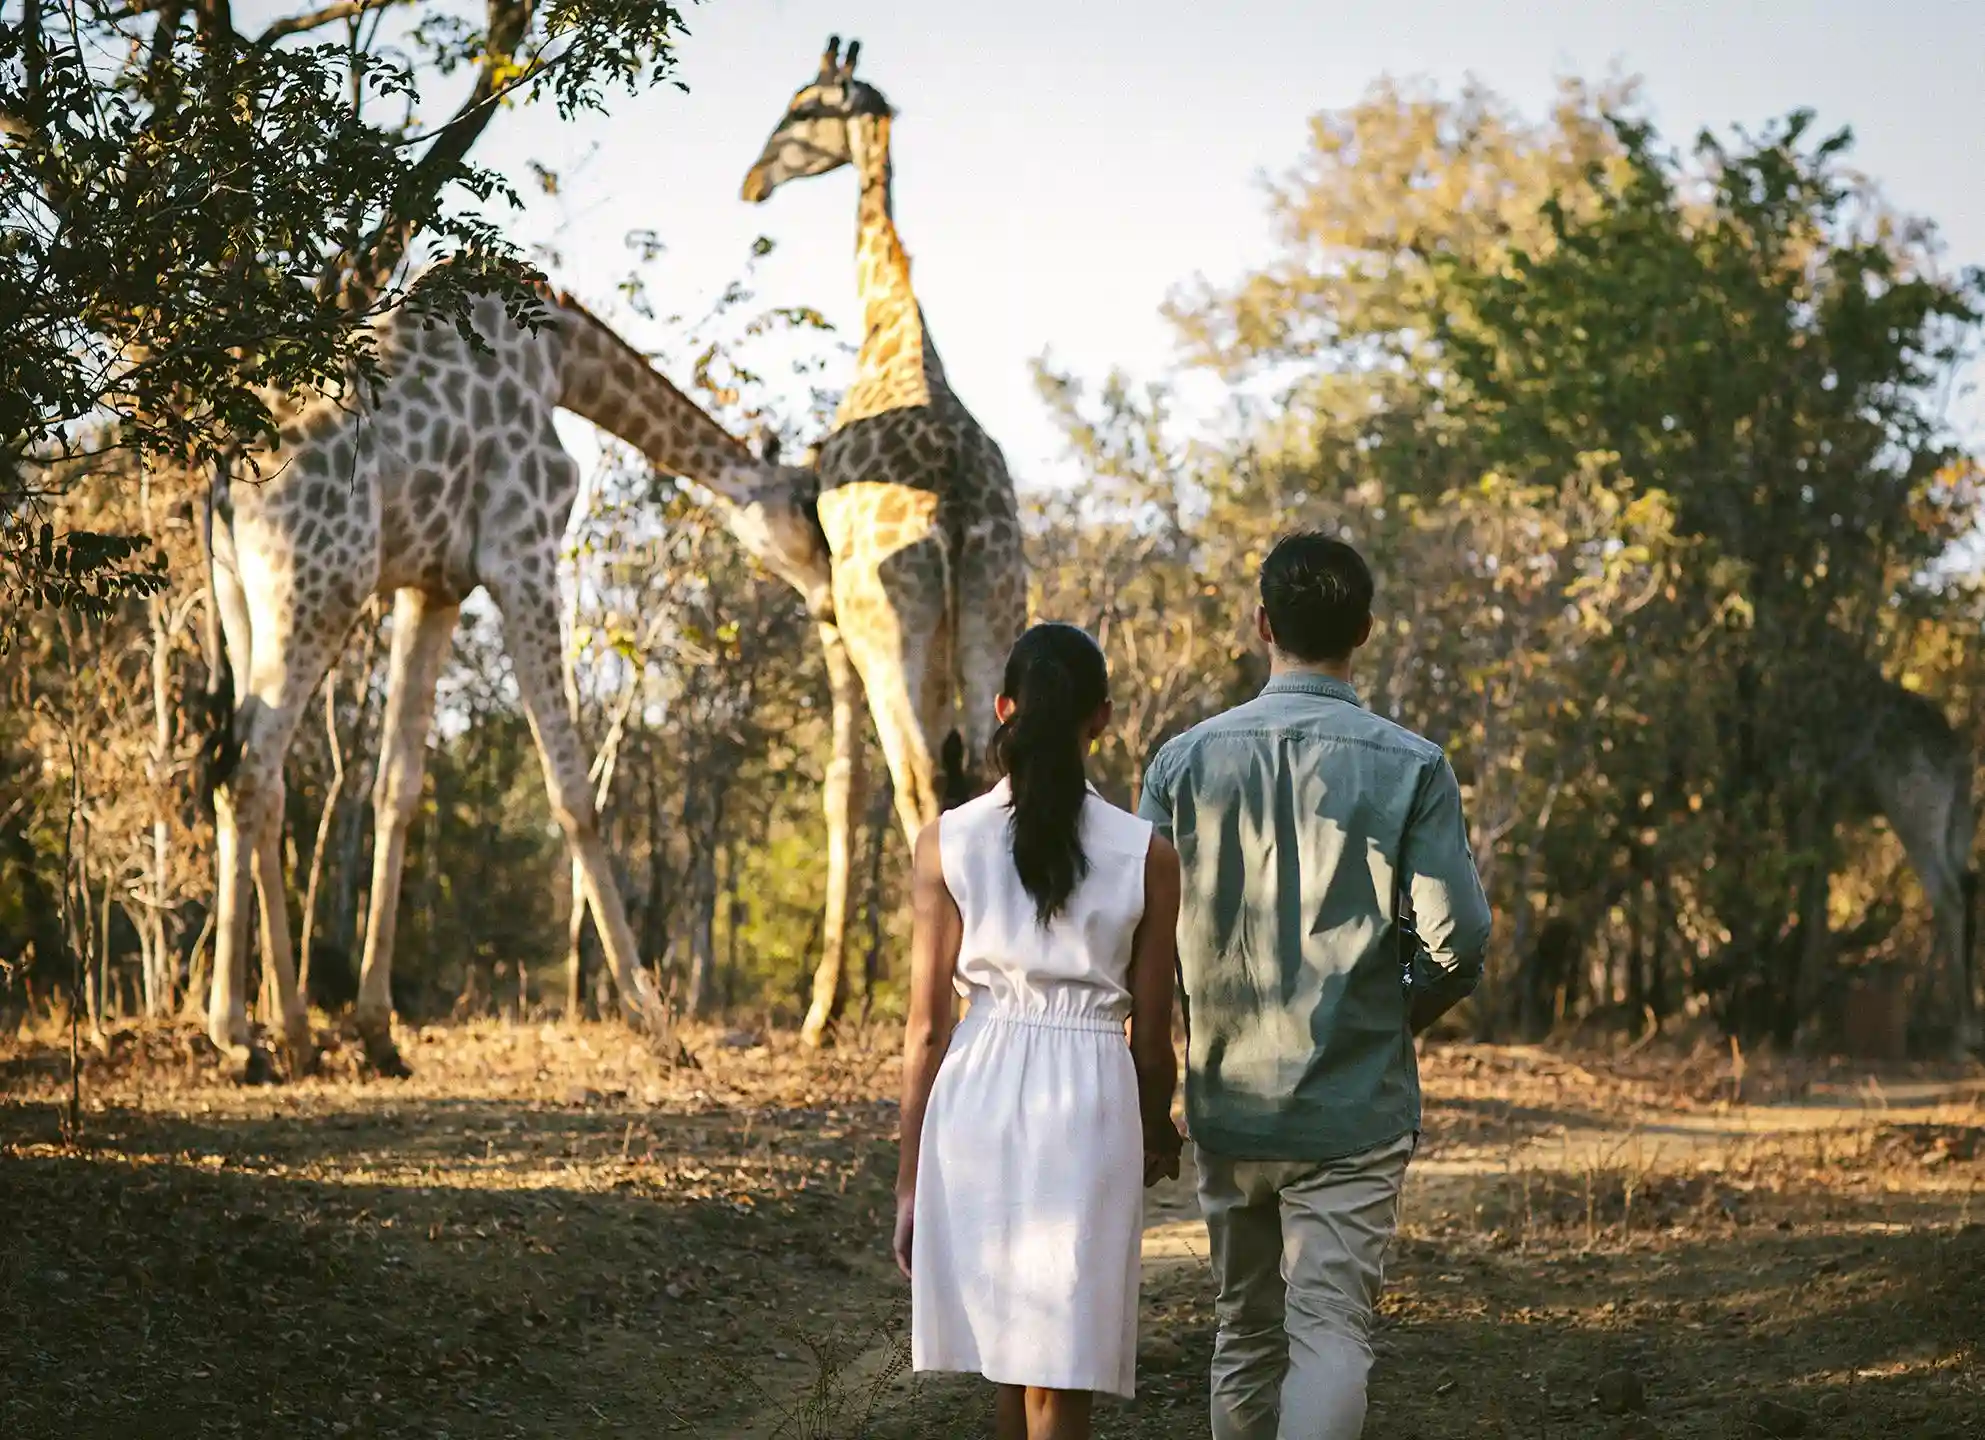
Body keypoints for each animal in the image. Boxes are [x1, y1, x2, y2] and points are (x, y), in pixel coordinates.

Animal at [203, 278, 832, 1078]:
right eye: (809, 511)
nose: (833, 598)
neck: (561, 360)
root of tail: (223, 478)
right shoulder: (522, 551)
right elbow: (573, 794)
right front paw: (658, 1026)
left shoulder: (434, 586)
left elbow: (396, 790)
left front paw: (377, 1031)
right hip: (318, 590)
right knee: (246, 775)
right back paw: (237, 1034)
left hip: (243, 602)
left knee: (268, 780)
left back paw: (294, 1032)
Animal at [742, 35, 1031, 1045]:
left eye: (799, 108)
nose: (752, 181)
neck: (893, 329)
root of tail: (949, 508)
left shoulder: (851, 614)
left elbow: (859, 784)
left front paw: (823, 1008)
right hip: (990, 609)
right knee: (981, 765)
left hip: (888, 631)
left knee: (912, 782)